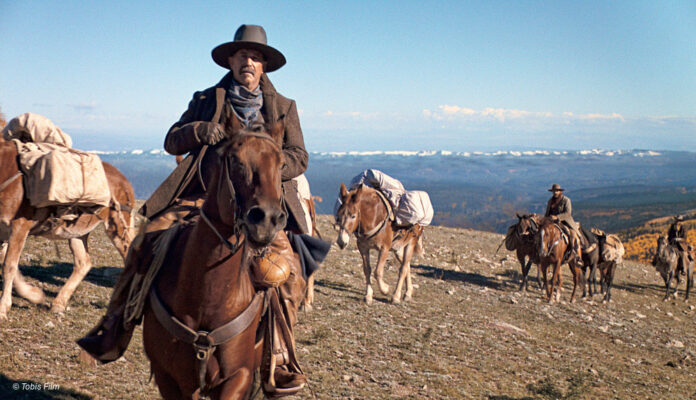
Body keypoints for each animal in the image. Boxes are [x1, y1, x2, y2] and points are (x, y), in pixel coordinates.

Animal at [0, 138, 135, 318]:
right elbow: (7, 263)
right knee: (83, 263)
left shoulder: (19, 227)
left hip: (117, 227)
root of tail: (124, 181)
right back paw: (58, 303)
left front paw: (3, 308)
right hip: (76, 232)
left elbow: (9, 266)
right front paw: (34, 295)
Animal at [141, 122, 294, 400]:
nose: (266, 220)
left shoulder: (239, 376)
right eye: (234, 160)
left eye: (282, 164)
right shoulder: (168, 377)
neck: (207, 299)